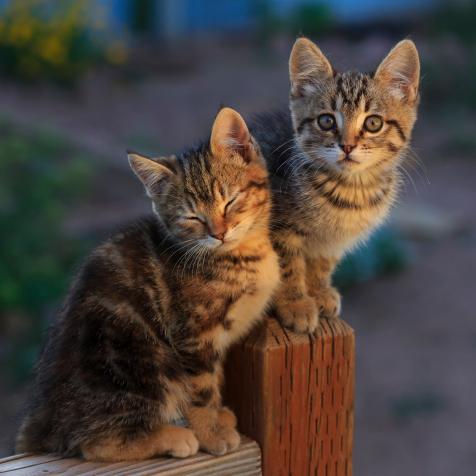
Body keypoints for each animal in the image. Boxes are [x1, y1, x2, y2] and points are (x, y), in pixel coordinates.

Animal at [16, 108, 280, 462]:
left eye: (230, 201)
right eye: (192, 218)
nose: (219, 233)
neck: (240, 255)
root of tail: (43, 420)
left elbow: (216, 378)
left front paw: (219, 416)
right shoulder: (193, 334)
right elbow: (201, 389)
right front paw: (211, 431)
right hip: (139, 356)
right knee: (92, 442)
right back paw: (174, 437)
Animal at [251, 37, 418, 332]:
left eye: (373, 123)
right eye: (326, 121)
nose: (347, 146)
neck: (351, 189)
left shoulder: (332, 240)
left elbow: (322, 264)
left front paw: (319, 292)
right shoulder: (278, 229)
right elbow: (286, 265)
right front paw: (295, 303)